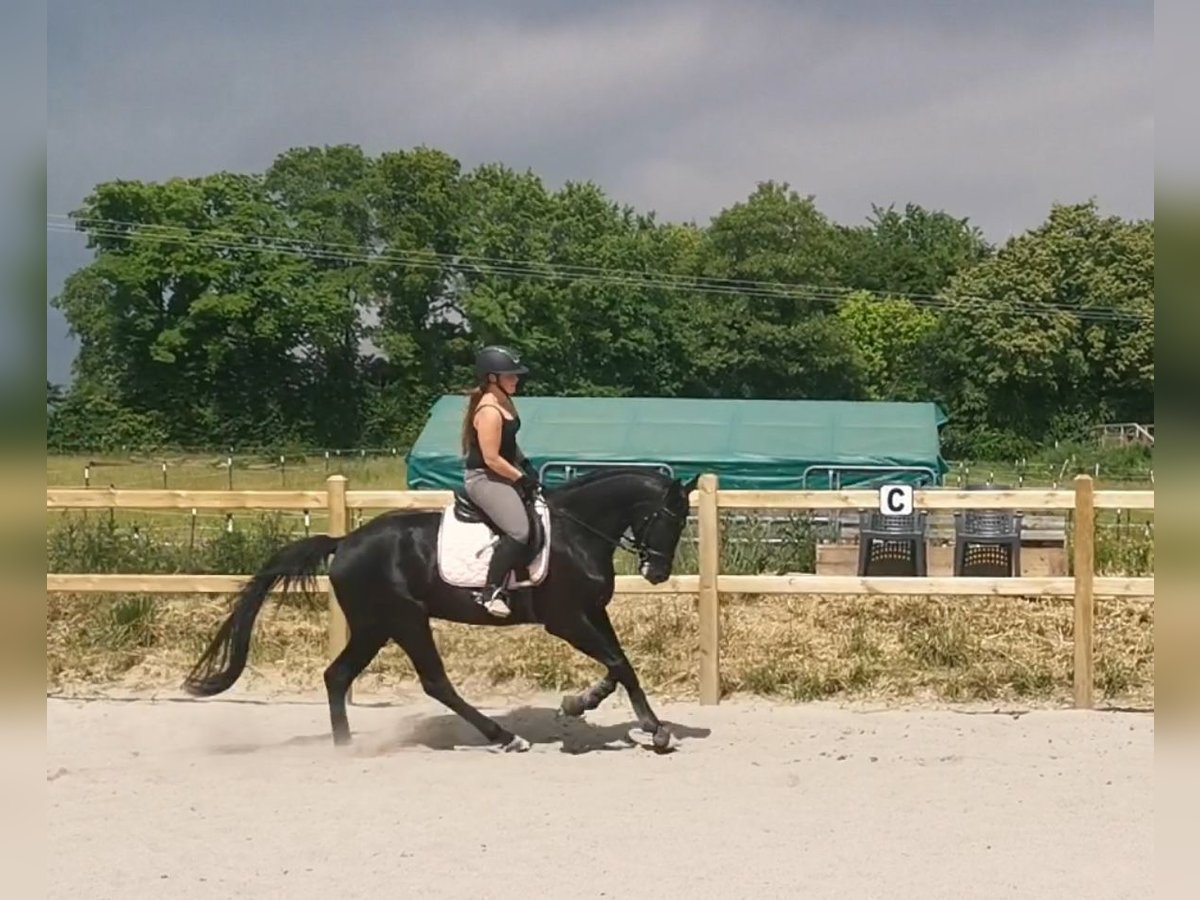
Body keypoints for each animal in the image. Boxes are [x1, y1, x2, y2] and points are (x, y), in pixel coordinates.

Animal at [182, 465, 700, 753]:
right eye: (667, 519)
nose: (657, 573)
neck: (577, 532)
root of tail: (344, 542)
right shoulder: (566, 620)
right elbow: (616, 662)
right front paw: (641, 726)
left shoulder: (592, 613)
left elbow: (621, 665)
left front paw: (604, 709)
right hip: (404, 619)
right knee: (434, 682)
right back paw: (503, 738)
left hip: (374, 626)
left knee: (337, 675)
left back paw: (344, 745)